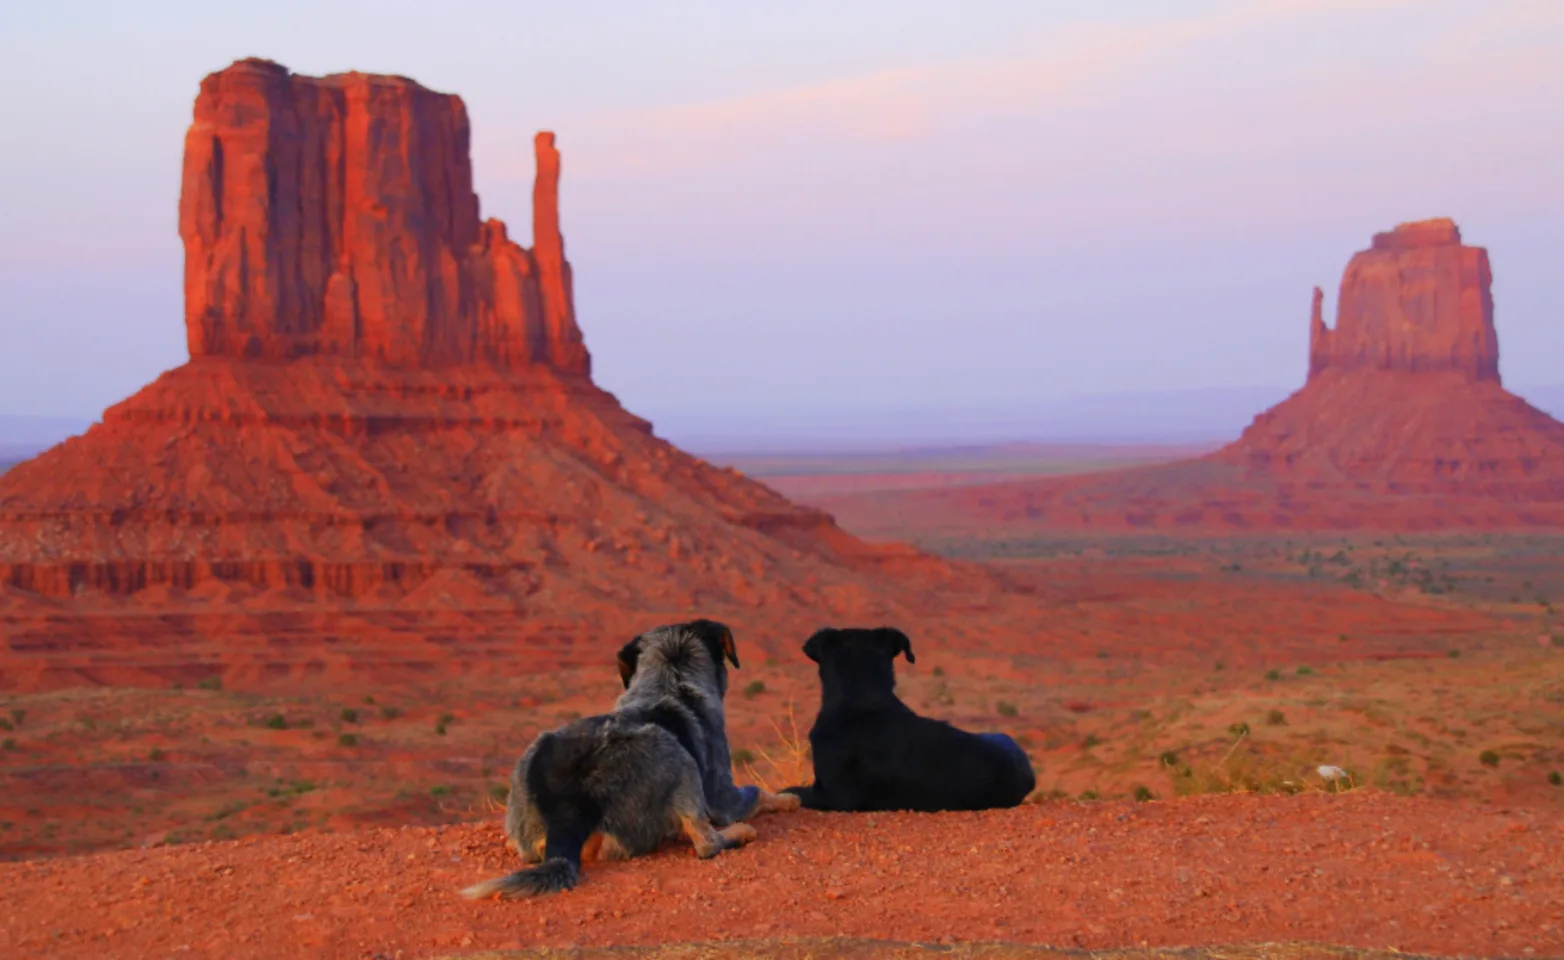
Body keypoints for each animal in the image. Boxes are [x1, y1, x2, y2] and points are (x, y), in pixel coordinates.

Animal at [456, 622, 800, 900]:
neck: (671, 680)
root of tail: (566, 814)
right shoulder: (722, 797)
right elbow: (757, 792)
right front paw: (788, 799)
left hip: (534, 755)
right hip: (673, 753)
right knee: (705, 843)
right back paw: (739, 834)